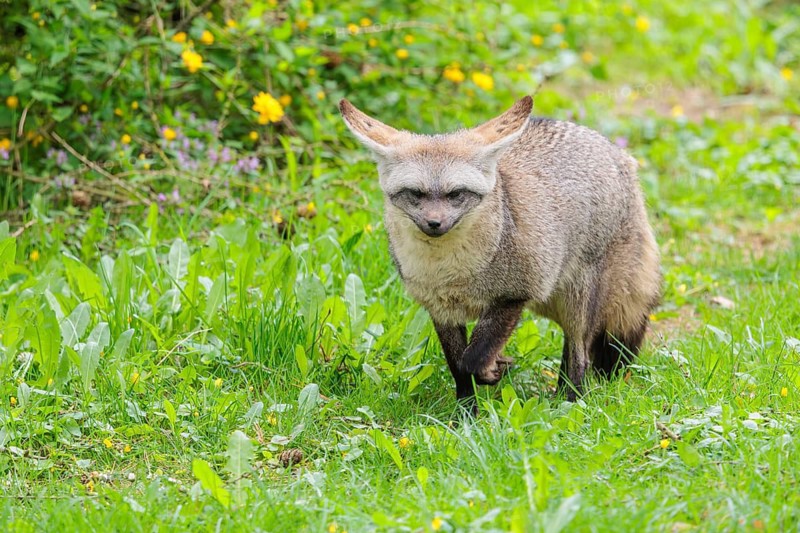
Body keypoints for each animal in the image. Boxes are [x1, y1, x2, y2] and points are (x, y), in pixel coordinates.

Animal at [339, 95, 661, 413]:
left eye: (456, 194)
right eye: (415, 194)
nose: (434, 223)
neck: (450, 272)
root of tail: (619, 154)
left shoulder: (515, 295)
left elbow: (472, 359)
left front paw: (491, 370)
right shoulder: (441, 310)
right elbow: (458, 367)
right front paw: (465, 416)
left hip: (577, 302)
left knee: (579, 356)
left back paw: (570, 404)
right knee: (571, 352)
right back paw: (559, 398)